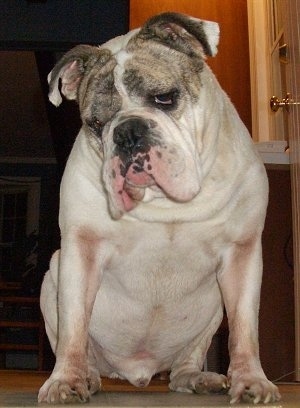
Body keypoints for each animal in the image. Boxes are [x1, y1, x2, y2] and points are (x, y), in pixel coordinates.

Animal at [38, 11, 282, 404]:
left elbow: (245, 329)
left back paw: (196, 377)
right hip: (52, 277)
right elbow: (73, 327)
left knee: (185, 362)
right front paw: (64, 380)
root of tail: (136, 373)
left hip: (212, 307)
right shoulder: (80, 252)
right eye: (96, 124)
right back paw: (87, 376)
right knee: (81, 346)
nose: (126, 132)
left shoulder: (242, 254)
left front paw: (251, 381)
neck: (163, 204)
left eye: (164, 98)